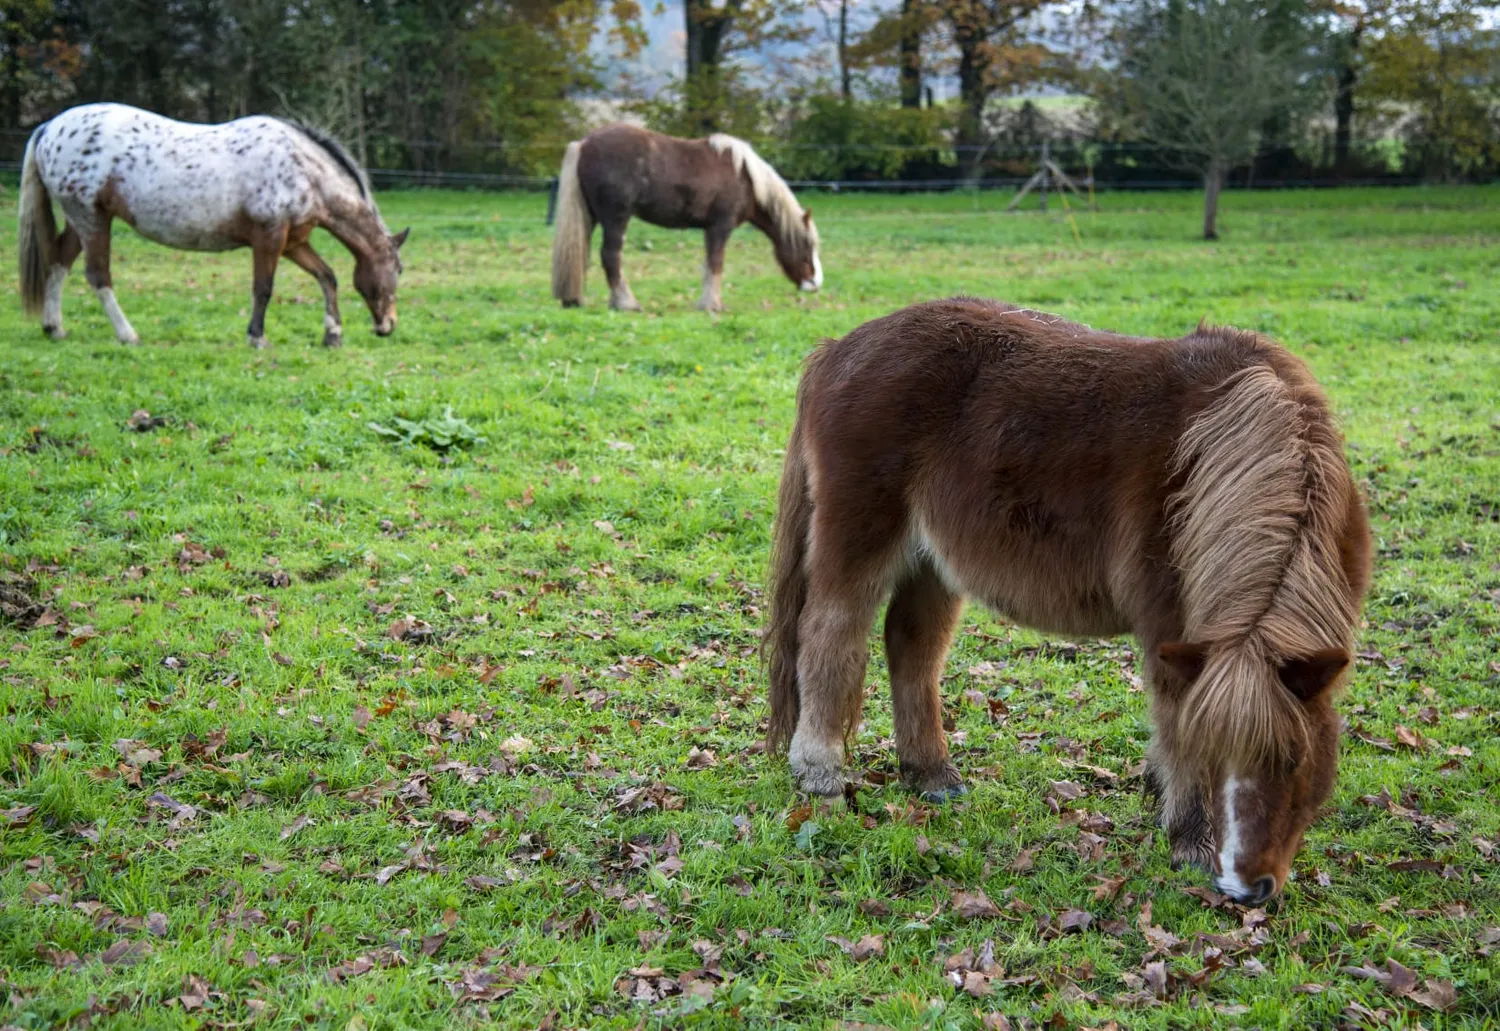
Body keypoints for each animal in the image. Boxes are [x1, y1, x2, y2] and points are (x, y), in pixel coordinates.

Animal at [17, 102, 408, 349]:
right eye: (398, 270)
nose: (389, 325)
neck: (304, 169)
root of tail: (50, 127)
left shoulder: (293, 242)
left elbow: (327, 277)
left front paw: (332, 335)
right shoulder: (269, 237)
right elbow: (263, 288)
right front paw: (256, 337)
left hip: (81, 220)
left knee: (59, 263)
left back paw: (54, 328)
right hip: (92, 219)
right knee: (98, 276)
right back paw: (128, 335)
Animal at [550, 124, 822, 312]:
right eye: (807, 245)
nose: (815, 283)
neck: (746, 178)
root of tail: (583, 144)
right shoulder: (719, 227)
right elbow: (715, 263)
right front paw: (712, 305)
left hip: (591, 217)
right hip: (616, 219)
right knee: (610, 256)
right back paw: (626, 303)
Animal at [764, 298, 1372, 904]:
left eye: (1293, 762)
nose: (1244, 888)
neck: (1218, 455)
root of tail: (839, 348)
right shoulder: (1170, 626)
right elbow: (1175, 720)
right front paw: (1190, 841)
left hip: (931, 559)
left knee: (912, 645)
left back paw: (931, 775)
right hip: (860, 538)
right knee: (829, 637)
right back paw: (820, 776)